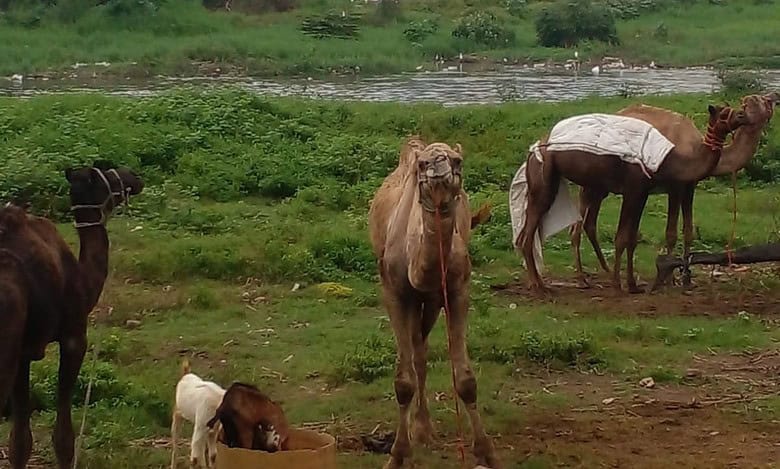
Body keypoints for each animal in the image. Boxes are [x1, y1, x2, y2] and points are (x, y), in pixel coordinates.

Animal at [0, 162, 143, 469]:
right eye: (106, 172)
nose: (134, 178)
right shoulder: (74, 336)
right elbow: (63, 439)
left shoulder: (24, 353)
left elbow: (20, 441)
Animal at [368, 137, 499, 469]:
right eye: (421, 164)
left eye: (457, 160)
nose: (438, 166)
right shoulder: (394, 292)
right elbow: (403, 383)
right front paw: (397, 455)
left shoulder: (455, 292)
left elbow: (465, 380)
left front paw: (487, 453)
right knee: (417, 352)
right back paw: (420, 429)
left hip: (431, 302)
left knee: (421, 349)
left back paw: (424, 428)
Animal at [521, 104, 749, 294]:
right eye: (723, 113)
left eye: (731, 107)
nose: (742, 114)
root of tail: (536, 147)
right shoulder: (634, 190)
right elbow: (622, 237)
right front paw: (618, 284)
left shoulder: (643, 193)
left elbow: (632, 238)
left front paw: (632, 284)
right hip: (546, 179)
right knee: (532, 232)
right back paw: (542, 286)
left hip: (586, 187)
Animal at [571, 93, 779, 286]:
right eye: (759, 100)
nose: (774, 96)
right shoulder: (674, 186)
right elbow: (671, 233)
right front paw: (670, 278)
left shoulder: (690, 186)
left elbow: (688, 231)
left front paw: (686, 278)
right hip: (591, 184)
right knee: (578, 226)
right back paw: (582, 278)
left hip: (601, 188)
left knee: (589, 223)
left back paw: (605, 271)